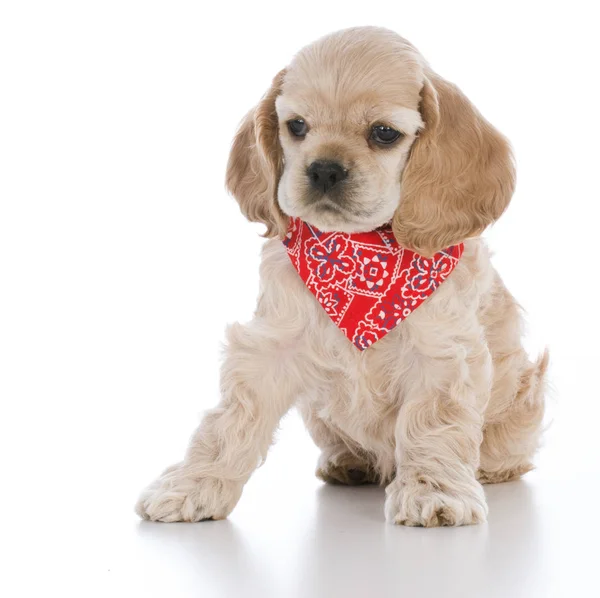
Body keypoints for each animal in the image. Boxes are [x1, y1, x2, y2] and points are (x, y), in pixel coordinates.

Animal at [136, 25, 548, 528]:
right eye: (296, 126)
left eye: (384, 133)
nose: (324, 169)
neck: (358, 262)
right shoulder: (272, 343)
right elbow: (230, 421)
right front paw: (191, 485)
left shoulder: (443, 353)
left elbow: (433, 422)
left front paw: (434, 492)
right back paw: (347, 463)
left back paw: (489, 470)